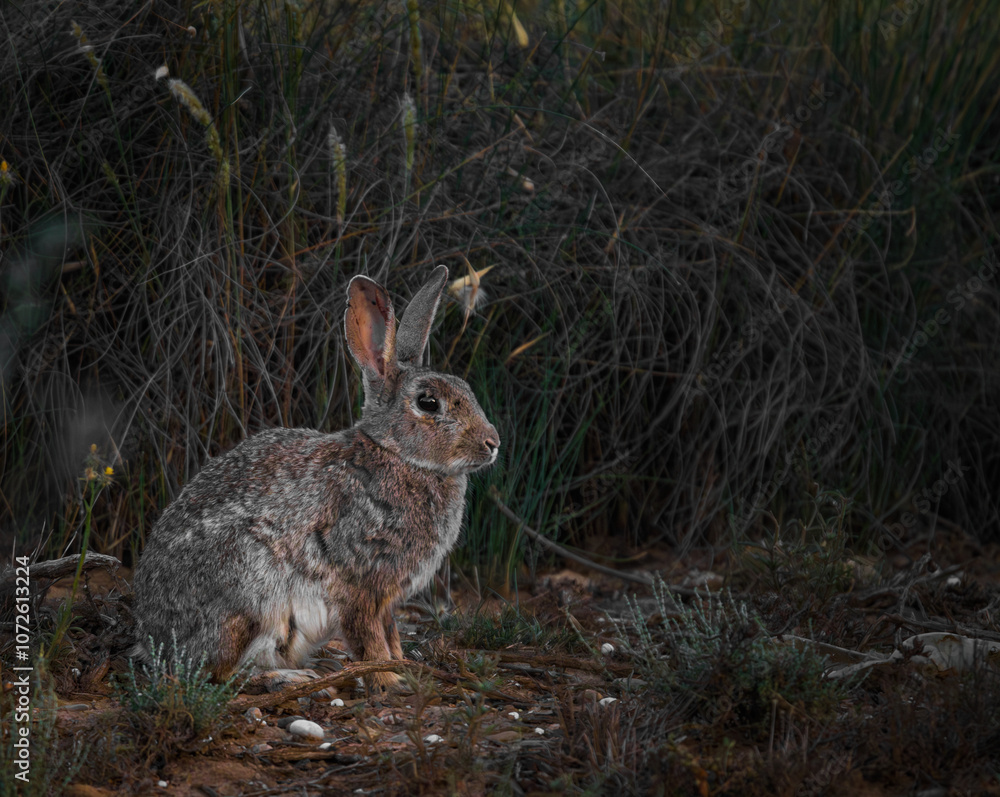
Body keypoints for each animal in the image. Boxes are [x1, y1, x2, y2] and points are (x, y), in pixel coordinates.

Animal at [130, 265, 500, 691]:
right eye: (428, 403)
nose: (493, 443)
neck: (397, 454)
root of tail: (155, 641)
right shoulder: (360, 583)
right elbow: (368, 637)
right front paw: (388, 678)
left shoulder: (387, 600)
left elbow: (390, 633)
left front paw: (402, 666)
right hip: (250, 598)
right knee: (218, 674)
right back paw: (291, 676)